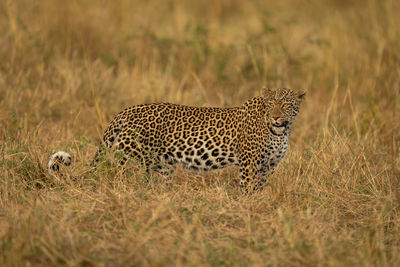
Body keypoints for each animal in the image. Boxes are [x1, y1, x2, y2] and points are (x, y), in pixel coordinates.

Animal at [50, 89, 306, 192]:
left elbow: (260, 187)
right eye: (271, 104)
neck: (281, 131)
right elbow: (248, 186)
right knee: (123, 178)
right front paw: (247, 207)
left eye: (286, 105)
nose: (276, 117)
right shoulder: (250, 163)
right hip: (138, 158)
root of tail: (126, 111)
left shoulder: (269, 165)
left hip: (163, 166)